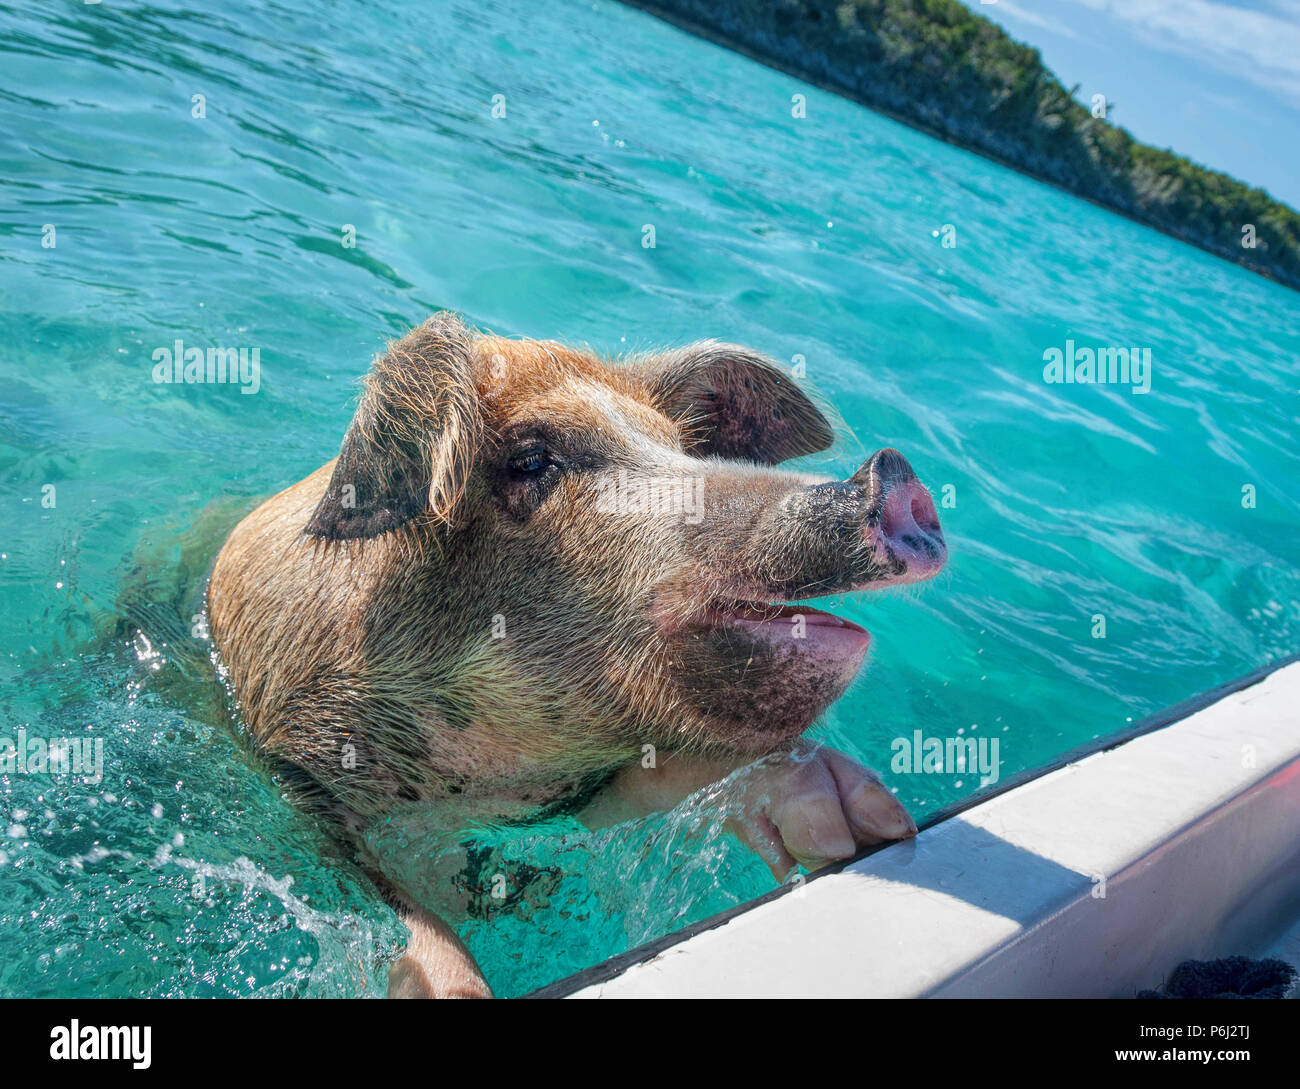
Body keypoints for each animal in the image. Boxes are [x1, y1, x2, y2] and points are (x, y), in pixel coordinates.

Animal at [210, 313, 946, 998]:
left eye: (677, 447)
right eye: (532, 460)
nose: (890, 474)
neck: (475, 788)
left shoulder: (567, 790)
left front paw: (864, 822)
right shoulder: (294, 769)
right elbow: (397, 908)